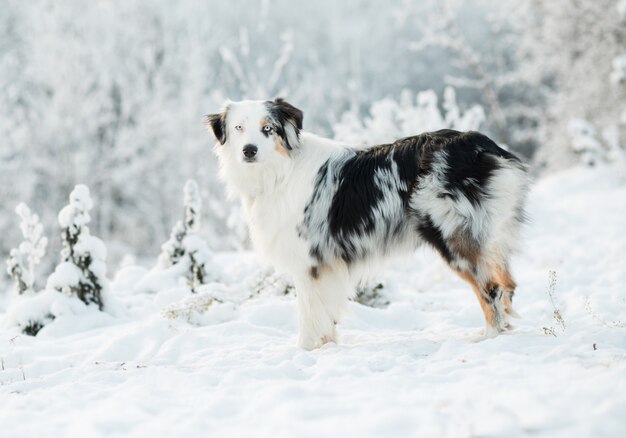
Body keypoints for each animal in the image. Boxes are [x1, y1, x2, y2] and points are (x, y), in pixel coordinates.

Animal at [205, 96, 528, 350]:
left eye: (267, 129)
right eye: (238, 128)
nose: (249, 150)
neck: (280, 171)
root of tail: (479, 143)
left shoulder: (310, 260)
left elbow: (310, 312)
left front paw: (308, 349)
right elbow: (326, 313)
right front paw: (327, 344)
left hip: (450, 235)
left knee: (490, 288)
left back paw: (488, 336)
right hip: (488, 236)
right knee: (507, 284)